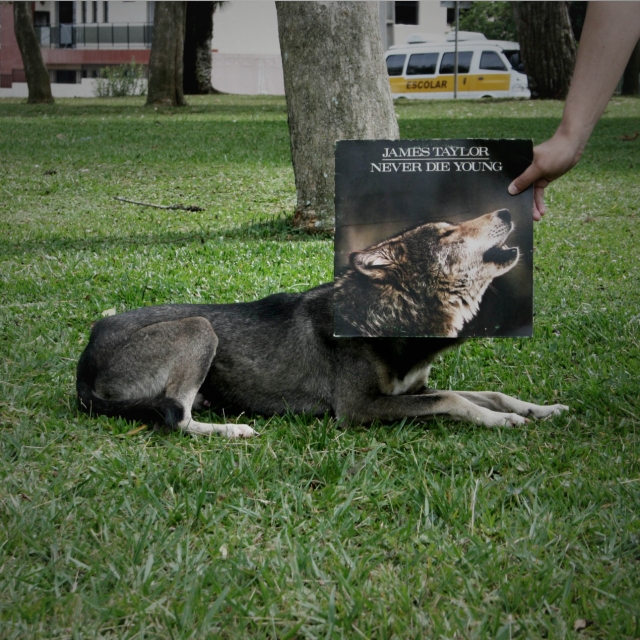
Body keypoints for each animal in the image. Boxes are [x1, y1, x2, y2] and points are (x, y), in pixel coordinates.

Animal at [77, 208, 568, 438]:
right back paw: (233, 429)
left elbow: (486, 393)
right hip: (199, 328)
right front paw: (501, 421)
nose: (507, 212)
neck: (387, 316)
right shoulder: (359, 408)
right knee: (176, 417)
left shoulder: (413, 388)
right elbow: (455, 400)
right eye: (447, 233)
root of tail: (86, 357)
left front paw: (540, 409)